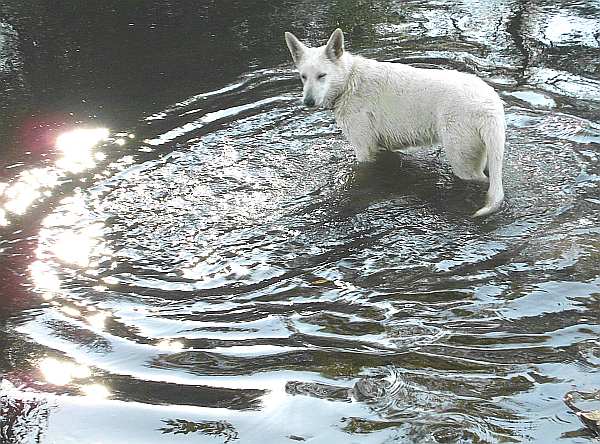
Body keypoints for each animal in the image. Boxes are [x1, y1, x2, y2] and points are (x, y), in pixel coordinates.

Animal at [286, 26, 506, 218]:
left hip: (461, 160)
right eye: (303, 77)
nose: (308, 102)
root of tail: (490, 104)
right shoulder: (381, 147)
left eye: (322, 76)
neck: (349, 81)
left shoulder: (364, 150)